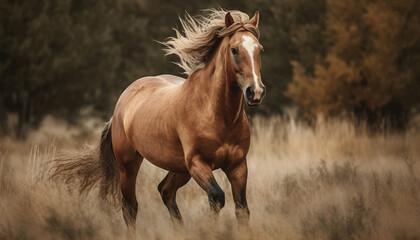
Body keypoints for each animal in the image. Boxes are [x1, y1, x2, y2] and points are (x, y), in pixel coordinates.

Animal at [52, 8, 266, 227]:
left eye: (260, 50)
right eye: (234, 50)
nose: (255, 92)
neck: (217, 114)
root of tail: (121, 104)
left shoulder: (237, 166)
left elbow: (242, 209)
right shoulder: (197, 162)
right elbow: (216, 197)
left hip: (179, 168)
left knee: (166, 191)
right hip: (129, 166)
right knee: (131, 207)